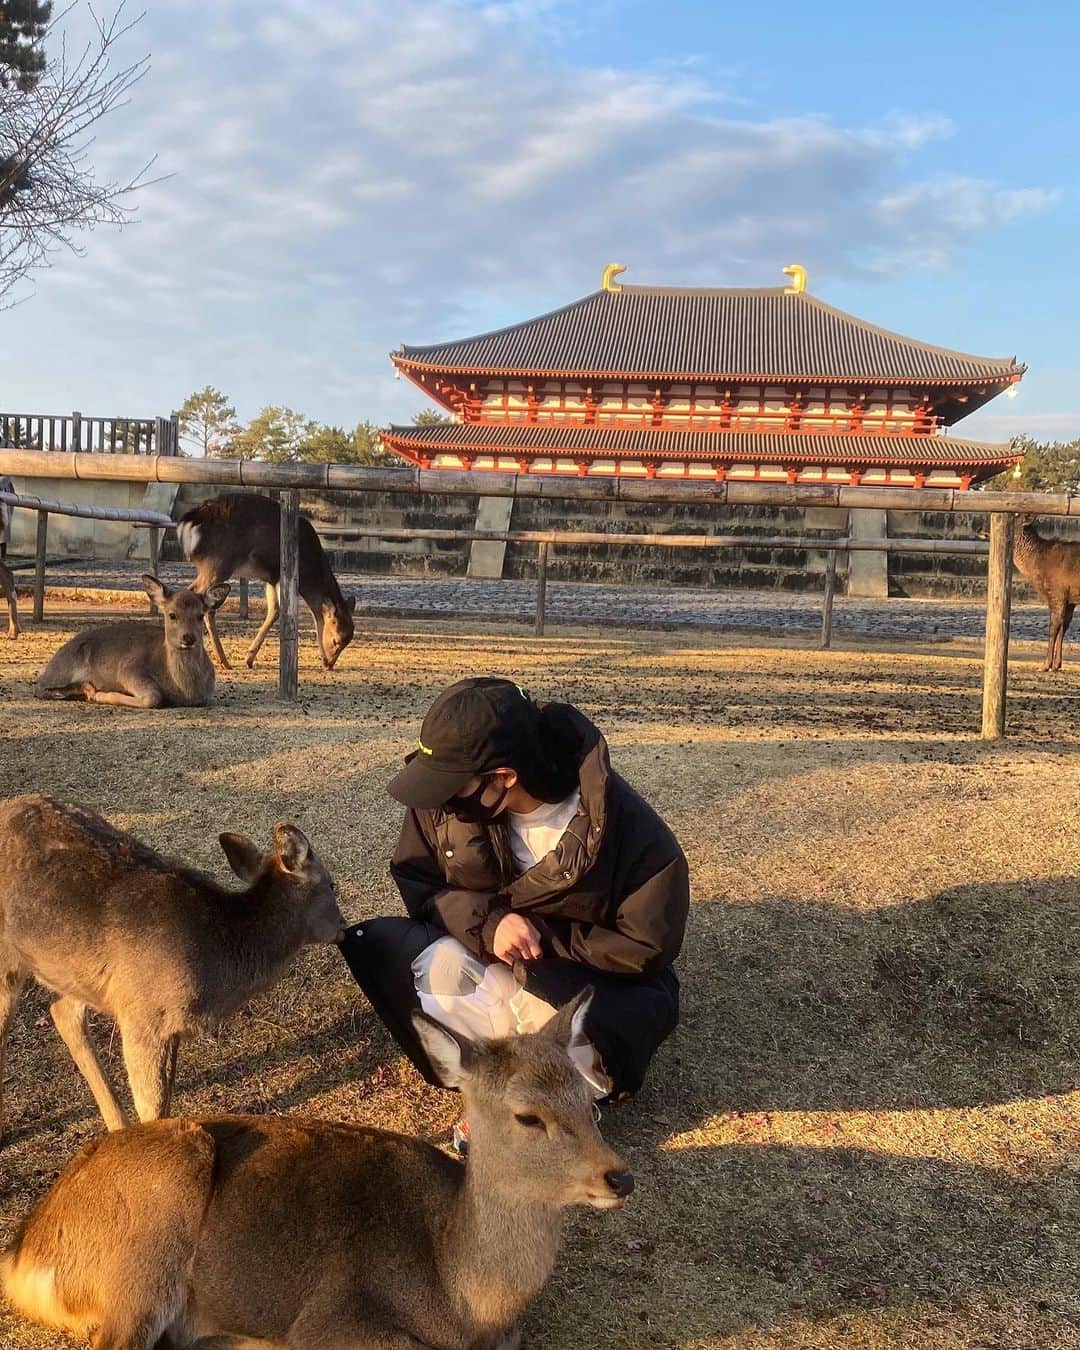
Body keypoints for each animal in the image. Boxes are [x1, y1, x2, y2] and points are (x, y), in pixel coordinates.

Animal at [0, 794, 345, 1142]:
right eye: (332, 885)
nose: (344, 927)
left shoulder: (167, 1025)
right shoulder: (143, 1020)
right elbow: (152, 1109)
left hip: (80, 975)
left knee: (62, 1010)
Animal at [1, 990, 634, 1350]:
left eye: (590, 1100)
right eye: (528, 1116)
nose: (619, 1177)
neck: (466, 1299)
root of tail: (24, 1250)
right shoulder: (333, 1315)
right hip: (147, 1242)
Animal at [34, 575, 230, 708]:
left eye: (200, 615)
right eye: (172, 614)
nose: (188, 638)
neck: (185, 691)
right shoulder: (128, 669)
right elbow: (153, 697)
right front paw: (103, 695)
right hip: (62, 668)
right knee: (41, 689)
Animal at [178, 492, 356, 672]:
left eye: (347, 642)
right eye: (336, 640)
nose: (329, 665)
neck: (308, 569)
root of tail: (188, 522)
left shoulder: (271, 578)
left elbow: (274, 611)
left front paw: (249, 659)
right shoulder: (279, 573)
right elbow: (281, 611)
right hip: (218, 563)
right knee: (201, 599)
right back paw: (223, 661)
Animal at [1012, 514, 1080, 672]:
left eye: (1014, 516)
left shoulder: (1057, 592)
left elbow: (1053, 627)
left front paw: (1045, 665)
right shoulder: (1070, 599)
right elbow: (1063, 627)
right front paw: (1056, 665)